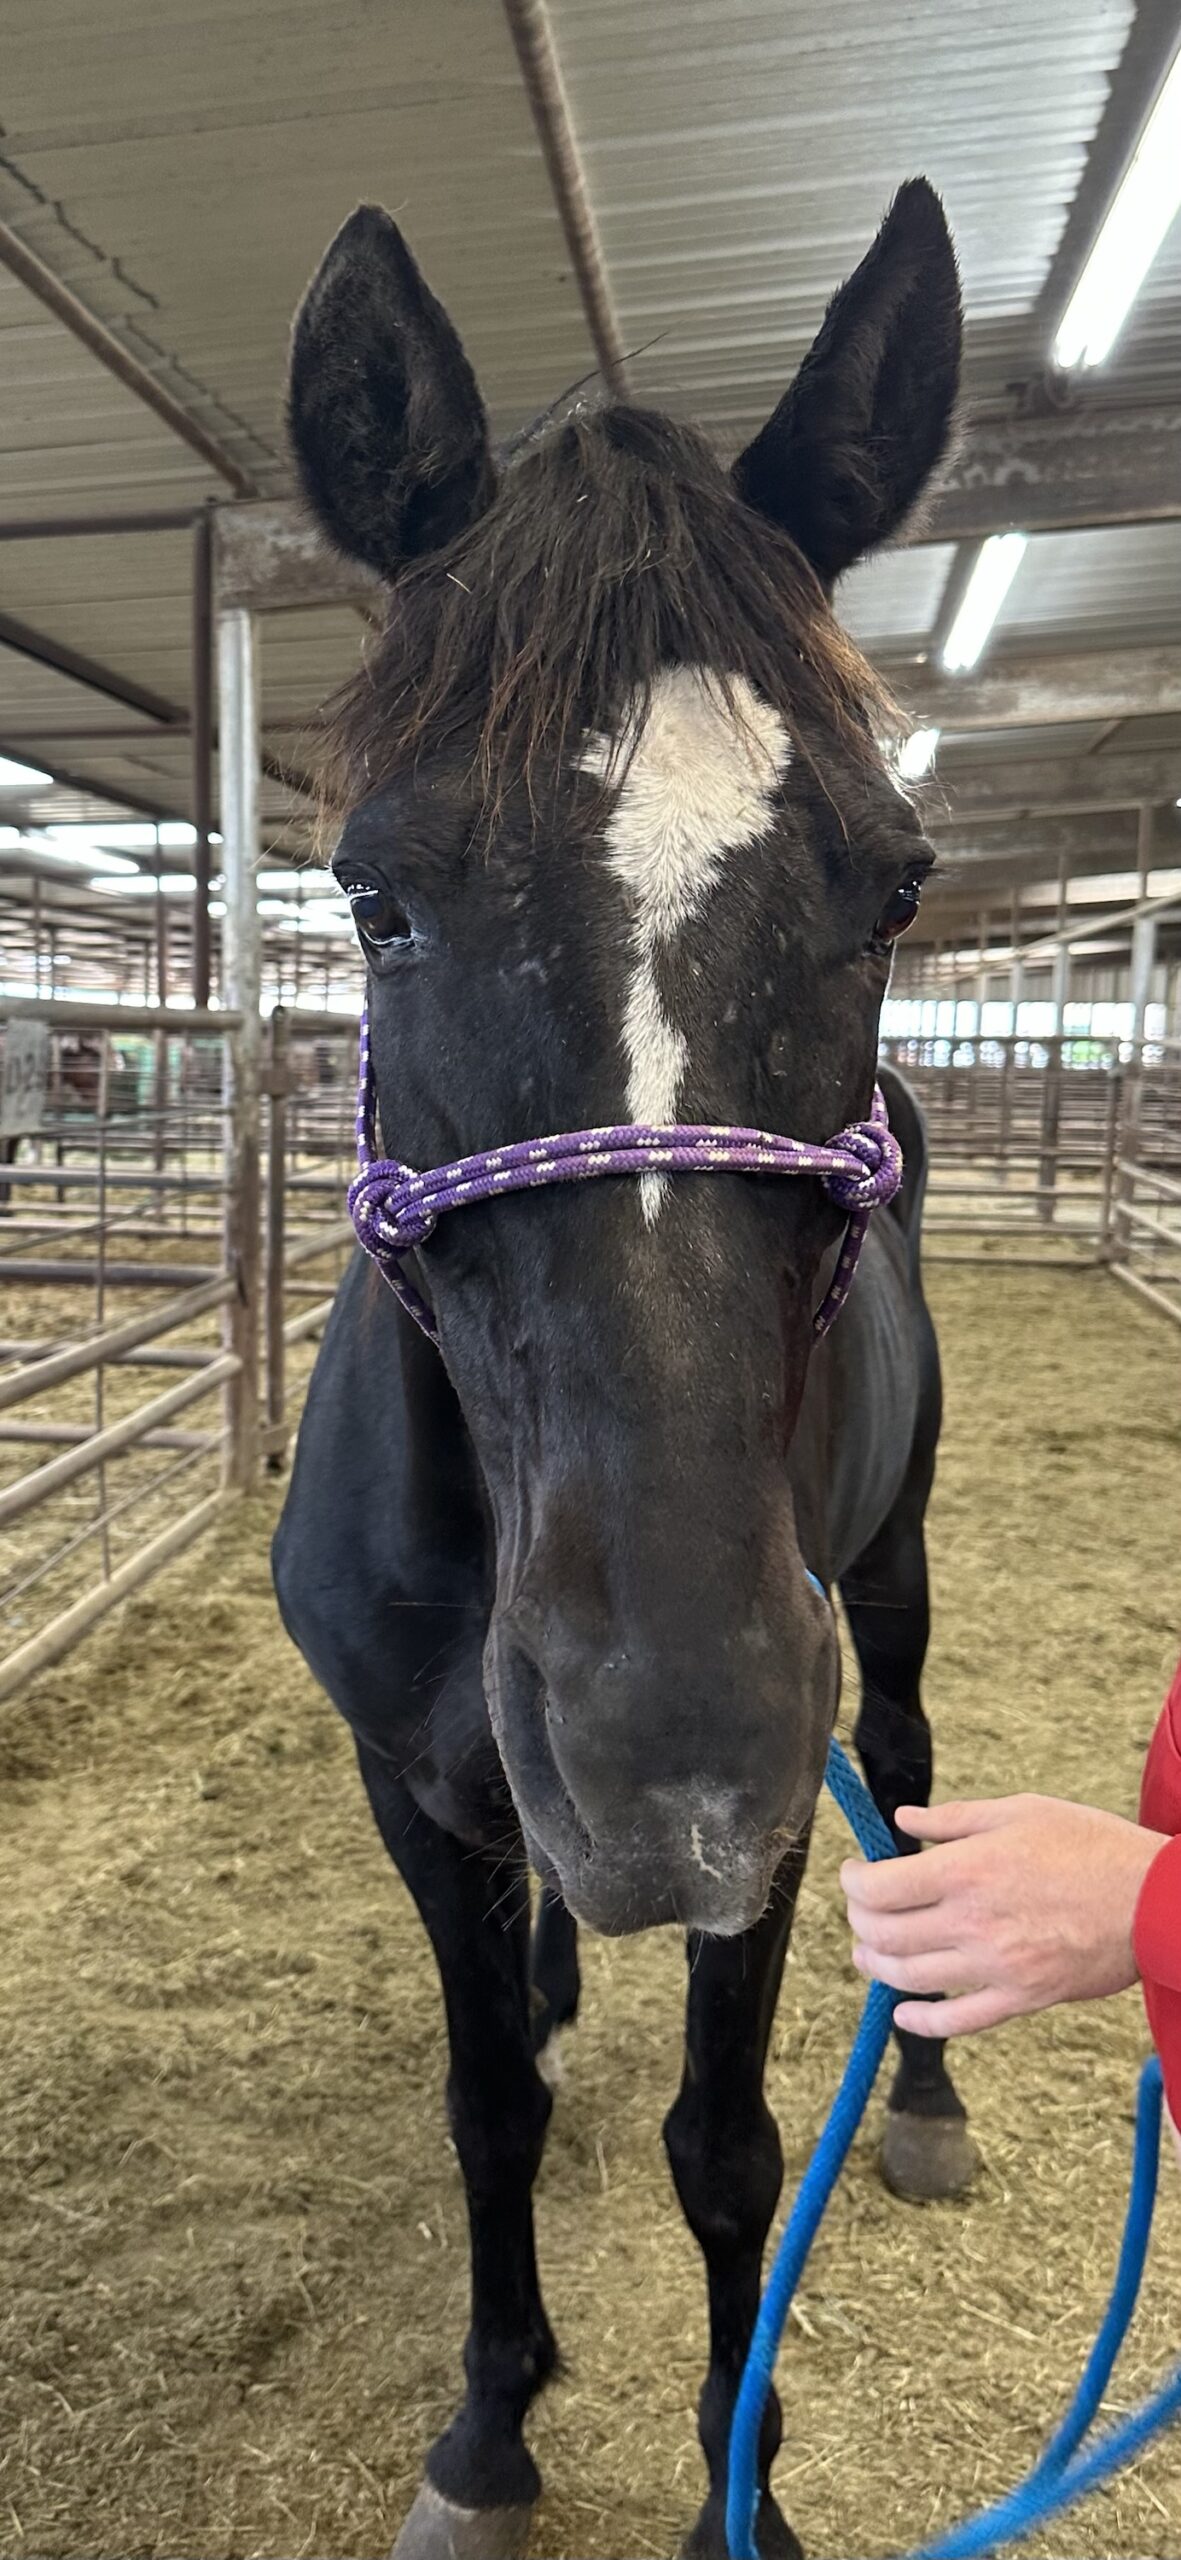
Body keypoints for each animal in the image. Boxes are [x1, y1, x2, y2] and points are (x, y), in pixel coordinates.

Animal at [274, 177, 973, 2560]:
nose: (665, 1758)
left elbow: (724, 2151)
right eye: (371, 900)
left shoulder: (775, 1771)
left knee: (916, 1785)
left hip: (884, 1598)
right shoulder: (408, 1777)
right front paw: (489, 2430)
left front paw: (734, 2486)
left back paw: (922, 2093)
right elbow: (486, 2095)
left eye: (893, 894)